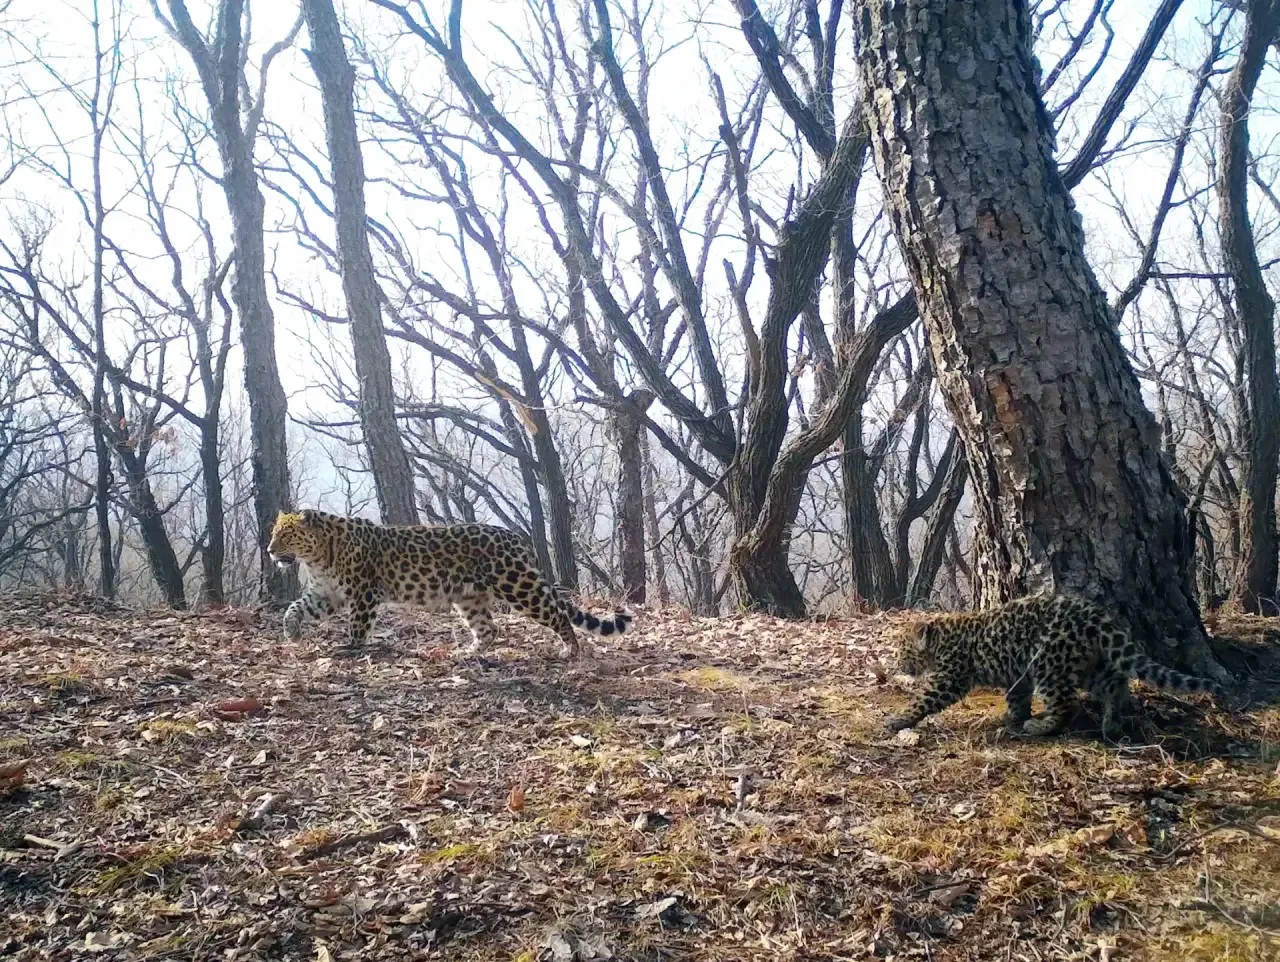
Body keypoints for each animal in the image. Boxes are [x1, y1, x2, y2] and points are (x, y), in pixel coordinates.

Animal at [267, 510, 633, 656]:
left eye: (286, 534)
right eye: (275, 533)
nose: (269, 550)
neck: (318, 556)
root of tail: (516, 537)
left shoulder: (362, 593)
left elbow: (358, 624)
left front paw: (351, 648)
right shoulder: (326, 593)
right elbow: (295, 607)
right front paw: (291, 632)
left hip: (517, 585)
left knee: (556, 615)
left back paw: (570, 650)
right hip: (469, 597)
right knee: (489, 628)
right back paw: (468, 652)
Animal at [883, 593, 1224, 738]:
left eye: (902, 648)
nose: (897, 663)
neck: (940, 638)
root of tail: (1094, 613)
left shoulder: (949, 678)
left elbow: (924, 700)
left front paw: (897, 720)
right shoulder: (1017, 675)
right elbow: (1017, 696)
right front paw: (1013, 717)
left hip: (1050, 661)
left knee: (1065, 704)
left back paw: (1041, 727)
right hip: (1089, 664)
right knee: (1114, 685)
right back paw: (1111, 724)